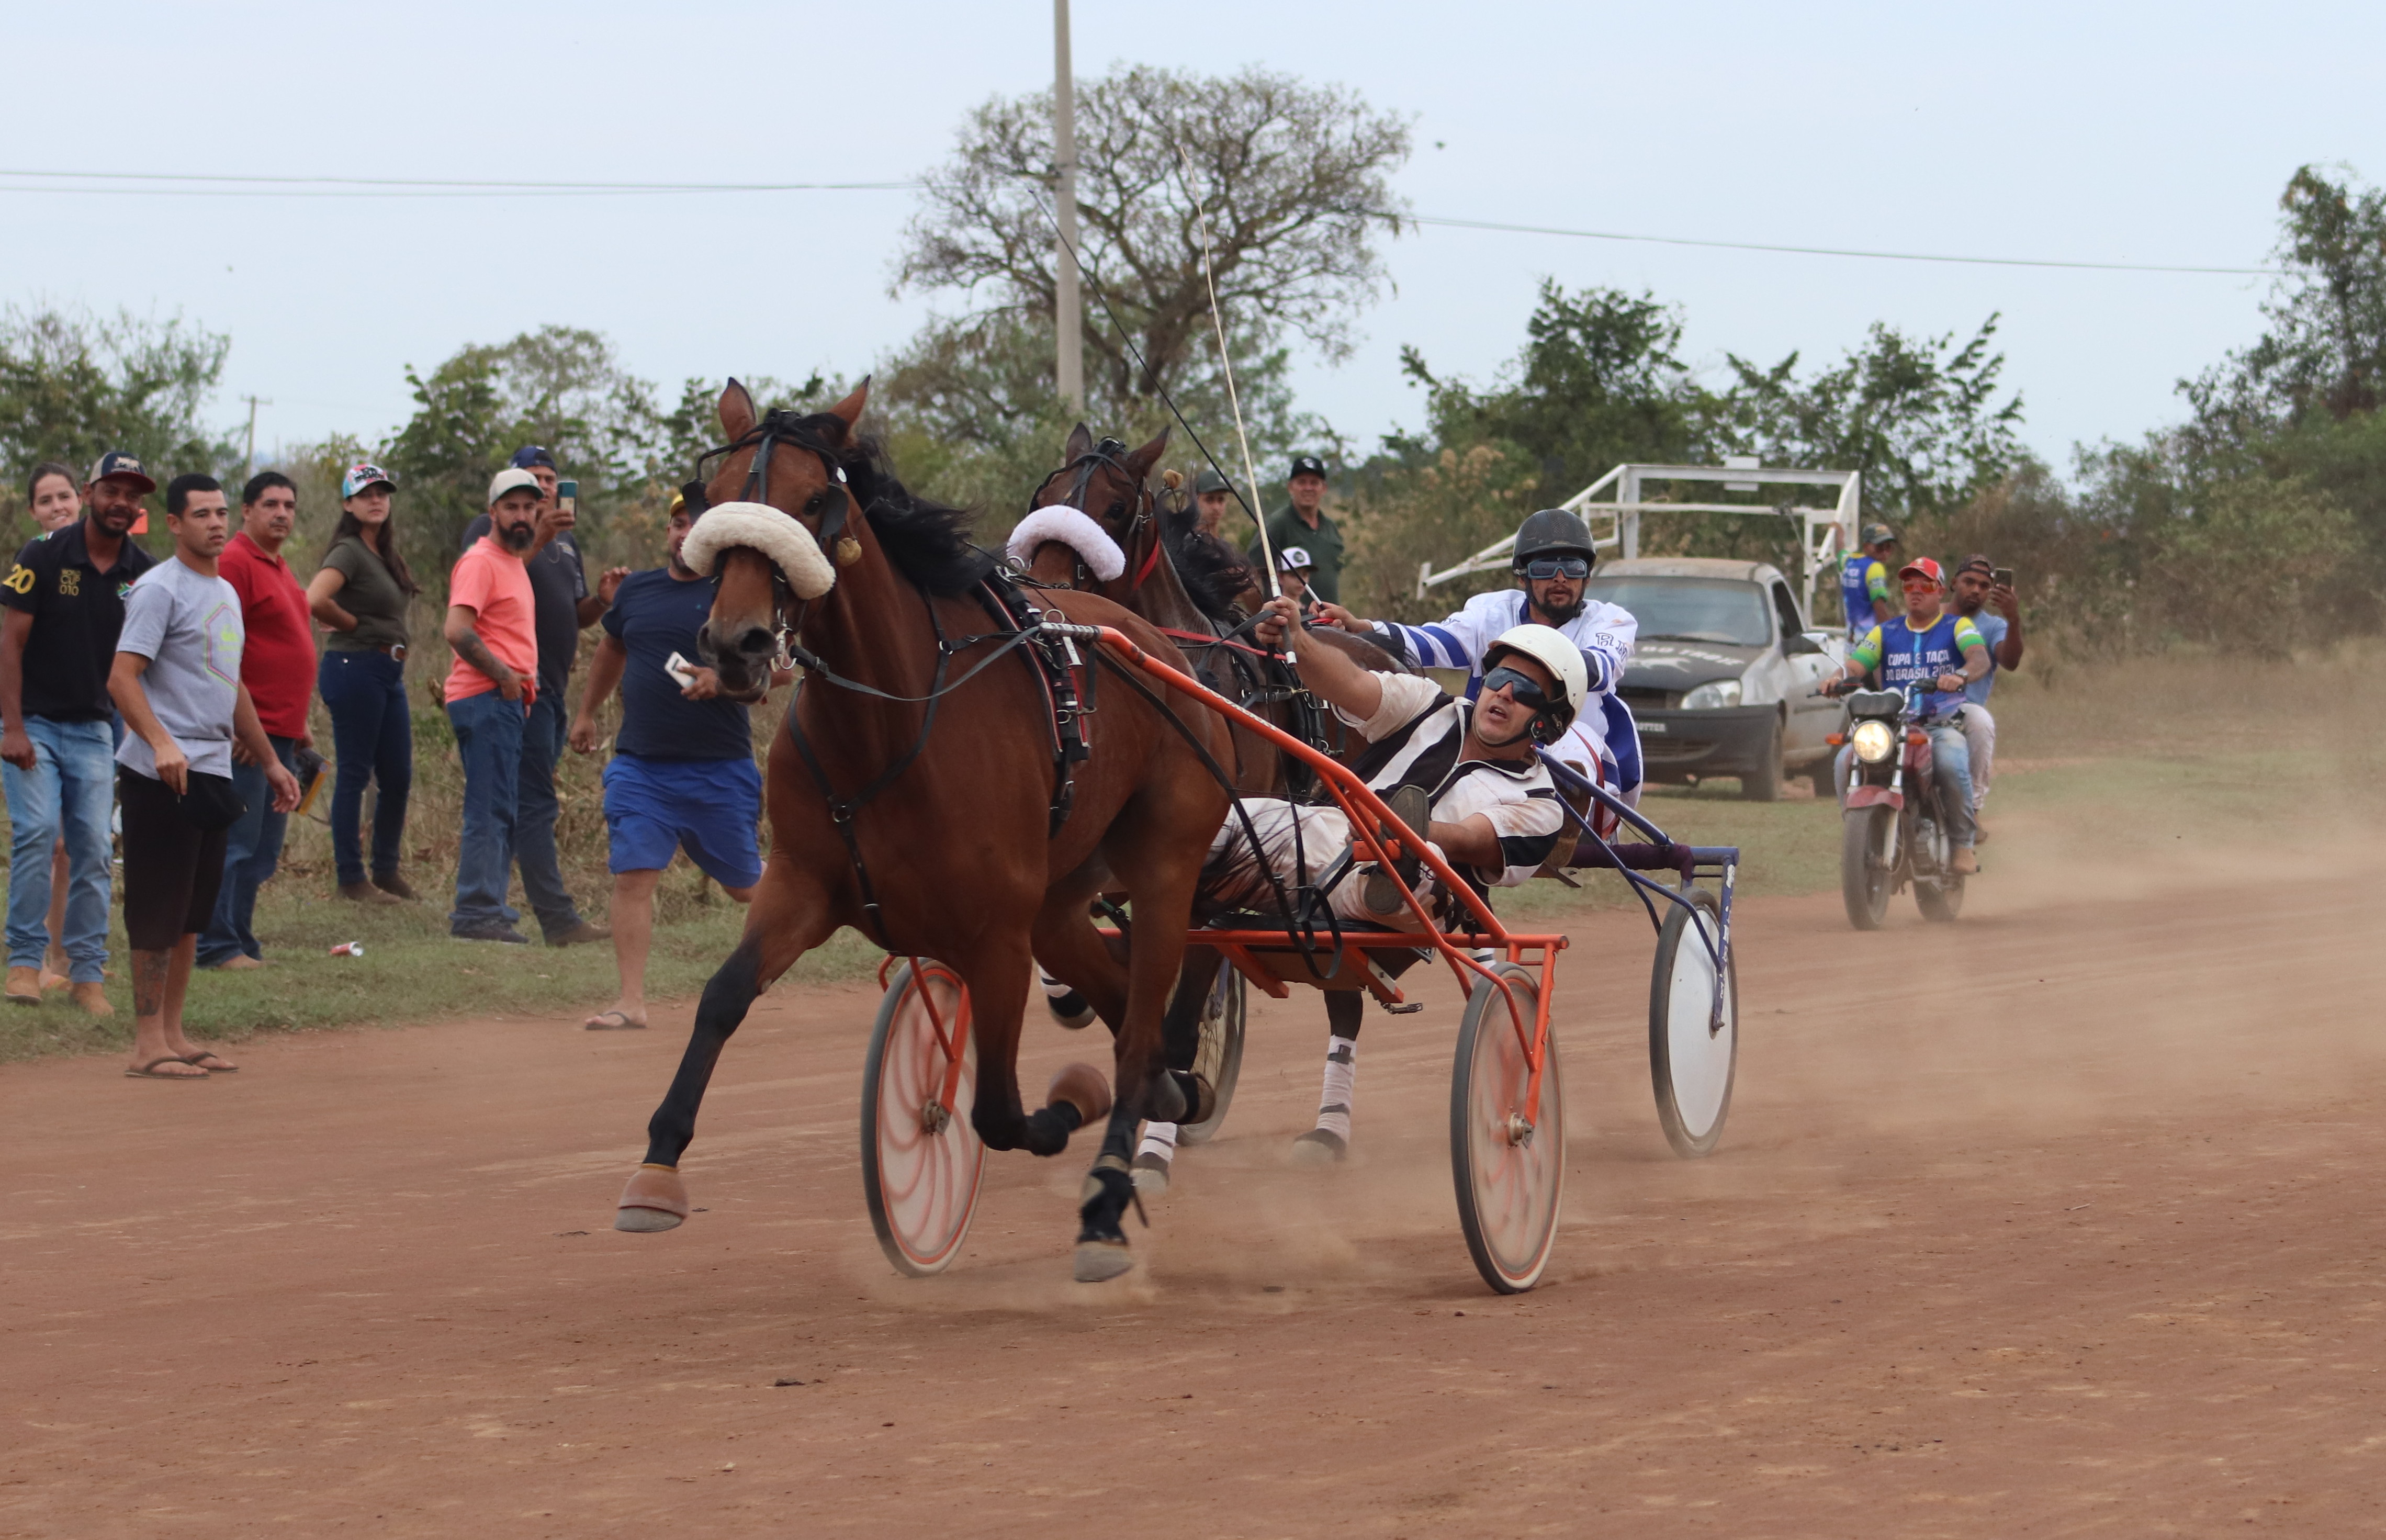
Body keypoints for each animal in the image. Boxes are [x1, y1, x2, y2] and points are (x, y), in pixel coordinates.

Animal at [612, 380, 1231, 1283]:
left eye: (812, 500)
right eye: (715, 497)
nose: (736, 642)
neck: (891, 722)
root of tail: (1164, 652)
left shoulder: (998, 934)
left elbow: (1001, 1111)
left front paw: (1070, 1099)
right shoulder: (800, 880)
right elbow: (723, 996)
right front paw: (657, 1167)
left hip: (1162, 867)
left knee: (1143, 1024)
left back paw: (1109, 1201)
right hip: (1062, 897)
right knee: (1127, 1011)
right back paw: (1175, 1091)